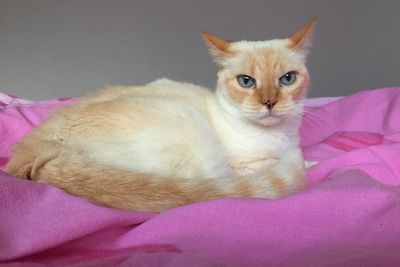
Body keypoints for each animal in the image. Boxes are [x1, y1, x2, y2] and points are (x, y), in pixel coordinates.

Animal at [3, 17, 316, 213]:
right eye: (246, 81)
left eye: (287, 79)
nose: (269, 102)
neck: (279, 136)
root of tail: (37, 153)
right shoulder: (244, 166)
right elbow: (283, 164)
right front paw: (308, 163)